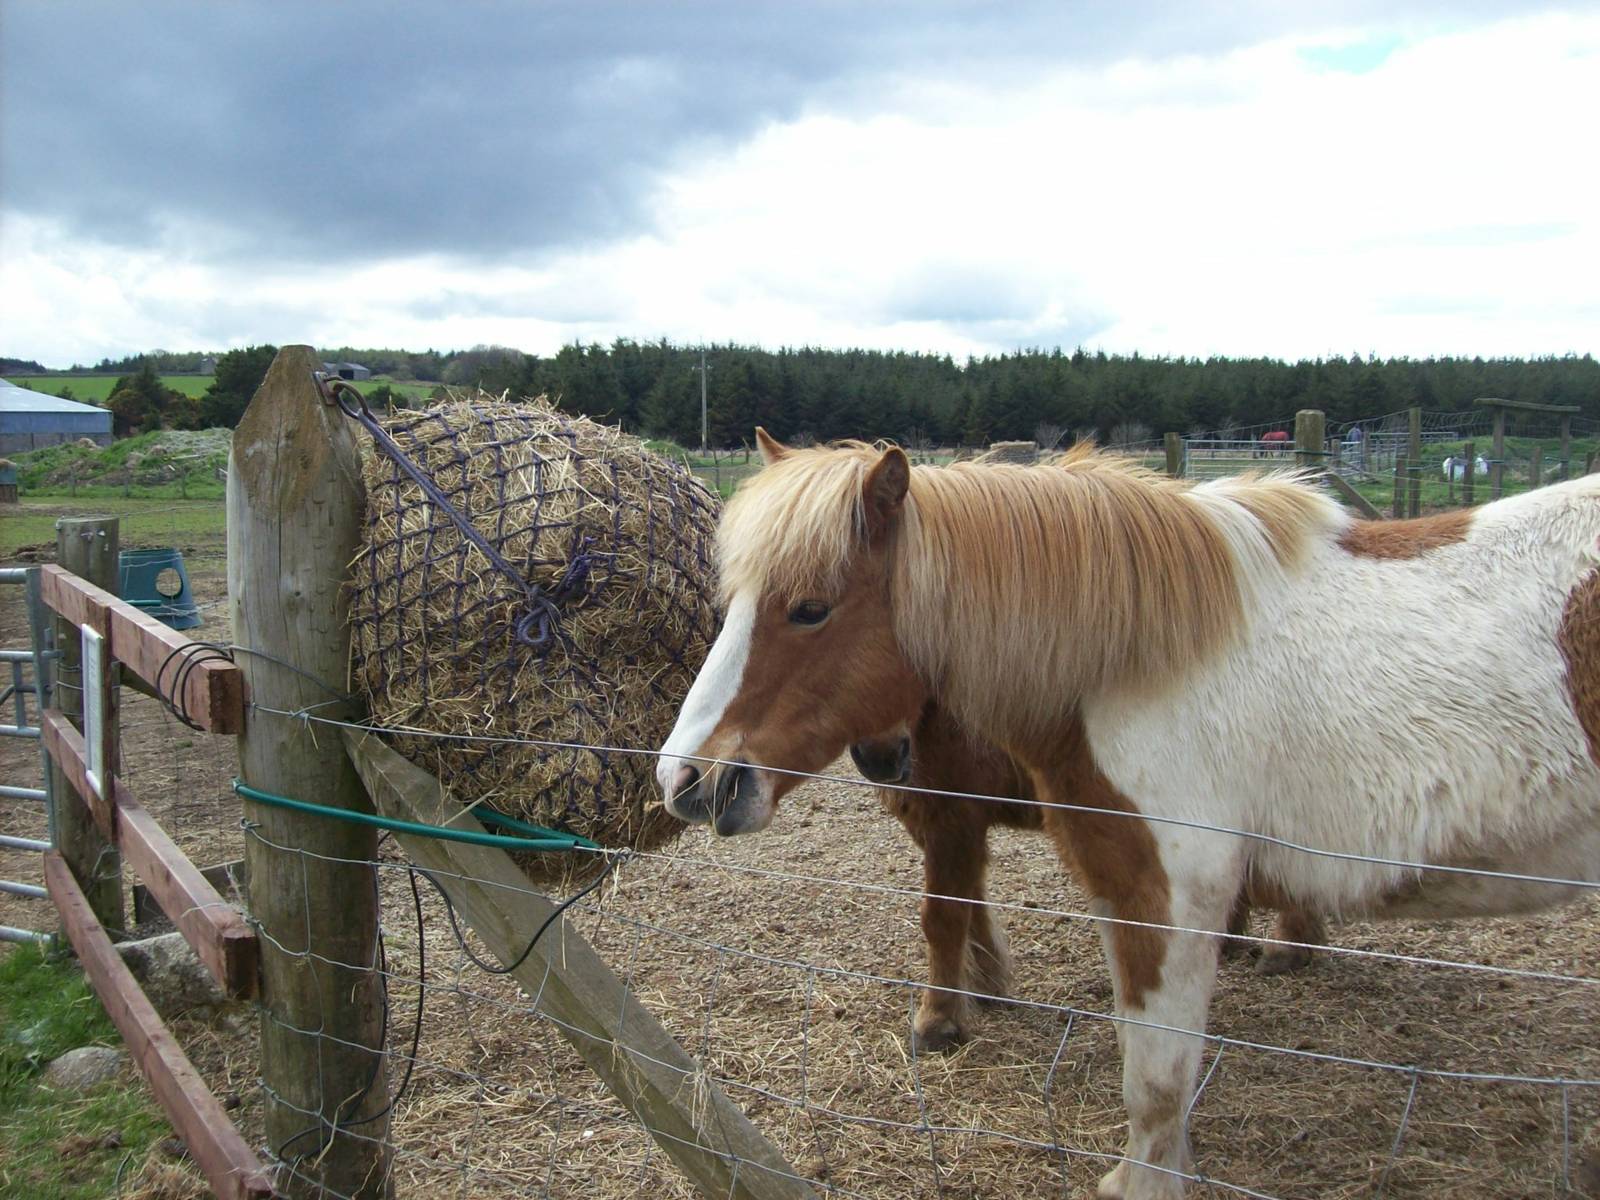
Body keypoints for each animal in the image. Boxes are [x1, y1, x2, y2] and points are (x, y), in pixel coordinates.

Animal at [852, 702, 1326, 1053]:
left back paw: (1287, 945)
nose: (881, 756)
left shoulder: (953, 818)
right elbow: (973, 908)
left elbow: (944, 918)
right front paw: (988, 985)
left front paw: (938, 1021)